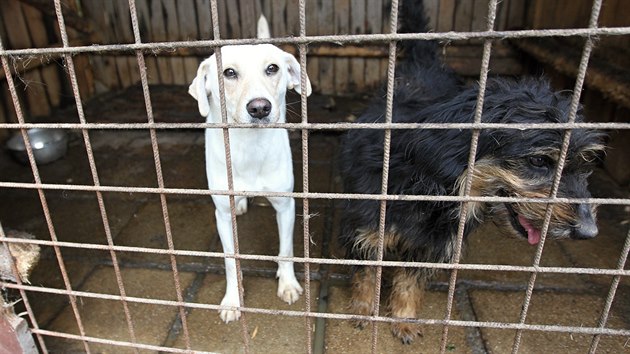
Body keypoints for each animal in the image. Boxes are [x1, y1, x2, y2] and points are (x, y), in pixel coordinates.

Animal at [190, 16, 314, 322]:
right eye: (228, 73)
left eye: (273, 68)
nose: (260, 108)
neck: (250, 148)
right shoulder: (221, 214)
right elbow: (230, 260)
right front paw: (233, 300)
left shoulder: (286, 206)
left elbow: (286, 250)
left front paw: (288, 285)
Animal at [340, 0, 608, 344]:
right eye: (538, 161)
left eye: (584, 164)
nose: (589, 232)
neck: (427, 181)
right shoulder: (366, 230)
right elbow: (366, 274)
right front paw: (363, 310)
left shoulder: (435, 244)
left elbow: (410, 283)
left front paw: (404, 318)